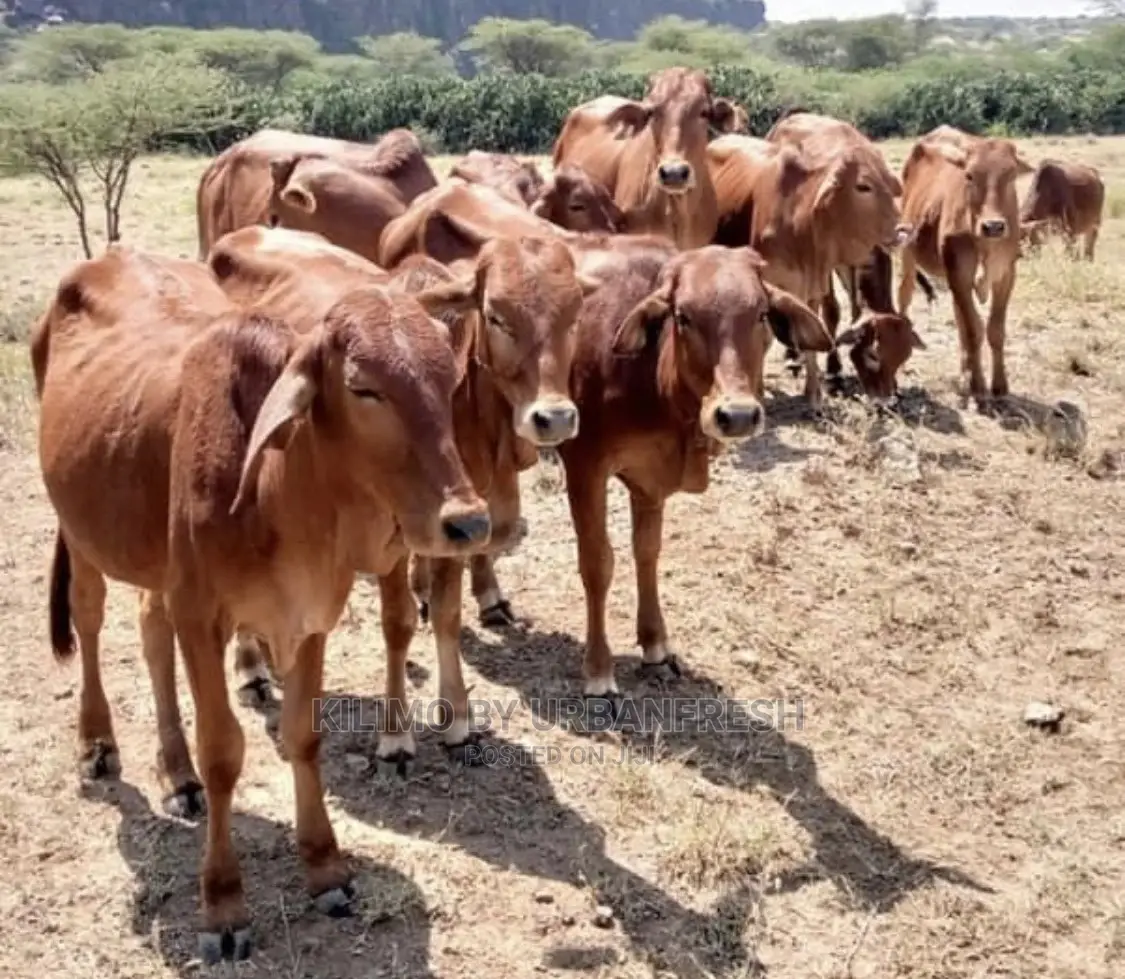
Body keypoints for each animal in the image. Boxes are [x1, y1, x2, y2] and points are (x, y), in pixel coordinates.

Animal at [33, 242, 492, 961]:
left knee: (150, 630)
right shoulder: (202, 616)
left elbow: (303, 735)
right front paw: (223, 903)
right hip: (82, 534)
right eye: (363, 387)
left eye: (447, 380)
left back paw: (177, 774)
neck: (280, 490)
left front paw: (324, 865)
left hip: (152, 558)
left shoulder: (308, 617)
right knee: (89, 617)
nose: (467, 522)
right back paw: (99, 742)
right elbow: (224, 751)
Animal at [555, 244, 835, 699]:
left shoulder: (648, 481)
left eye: (760, 313)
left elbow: (646, 551)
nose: (737, 415)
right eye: (683, 316)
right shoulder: (584, 467)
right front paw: (598, 671)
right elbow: (597, 564)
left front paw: (655, 646)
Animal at [708, 133, 919, 407]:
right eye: (863, 186)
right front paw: (758, 391)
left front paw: (814, 394)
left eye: (903, 357)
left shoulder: (813, 285)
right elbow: (763, 337)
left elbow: (813, 332)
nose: (904, 230)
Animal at [897, 126, 1034, 403]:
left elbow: (994, 329)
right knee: (904, 297)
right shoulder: (959, 272)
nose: (993, 226)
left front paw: (999, 385)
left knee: (959, 317)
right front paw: (979, 385)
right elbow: (973, 330)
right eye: (969, 175)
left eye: (1011, 174)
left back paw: (964, 372)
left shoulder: (1006, 274)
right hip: (908, 254)